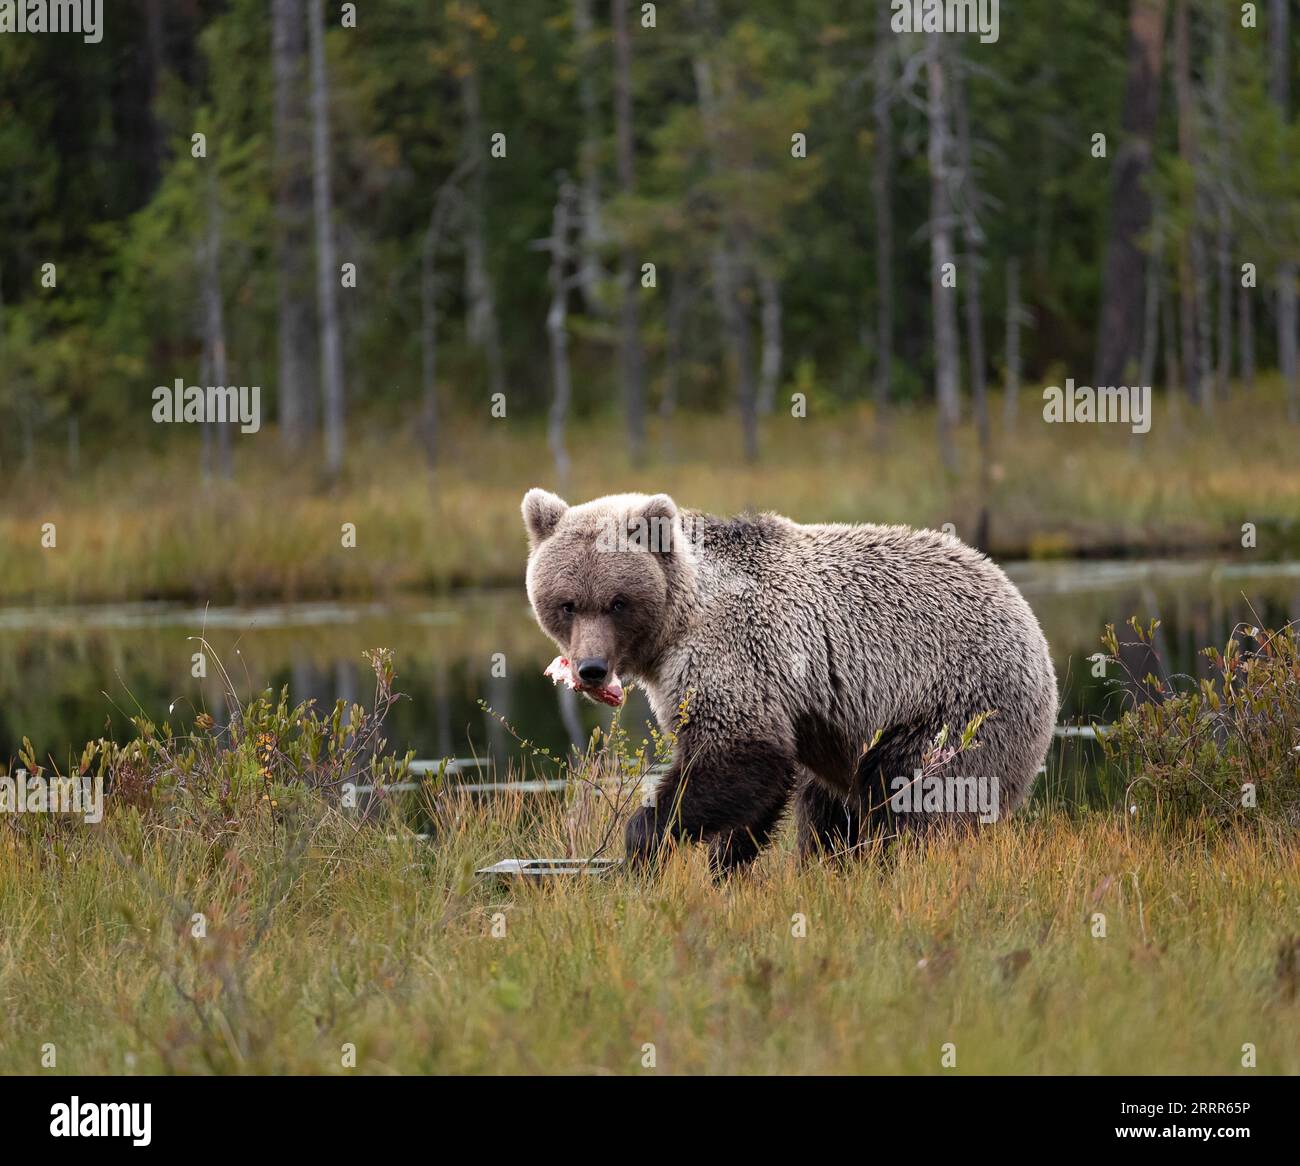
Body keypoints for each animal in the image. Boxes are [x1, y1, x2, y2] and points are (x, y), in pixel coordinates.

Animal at [517, 486, 1055, 868]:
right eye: (567, 603)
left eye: (617, 602)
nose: (590, 668)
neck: (679, 619)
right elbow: (763, 787)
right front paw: (728, 864)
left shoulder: (735, 652)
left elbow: (739, 754)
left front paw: (645, 844)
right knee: (828, 809)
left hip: (955, 706)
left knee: (918, 798)